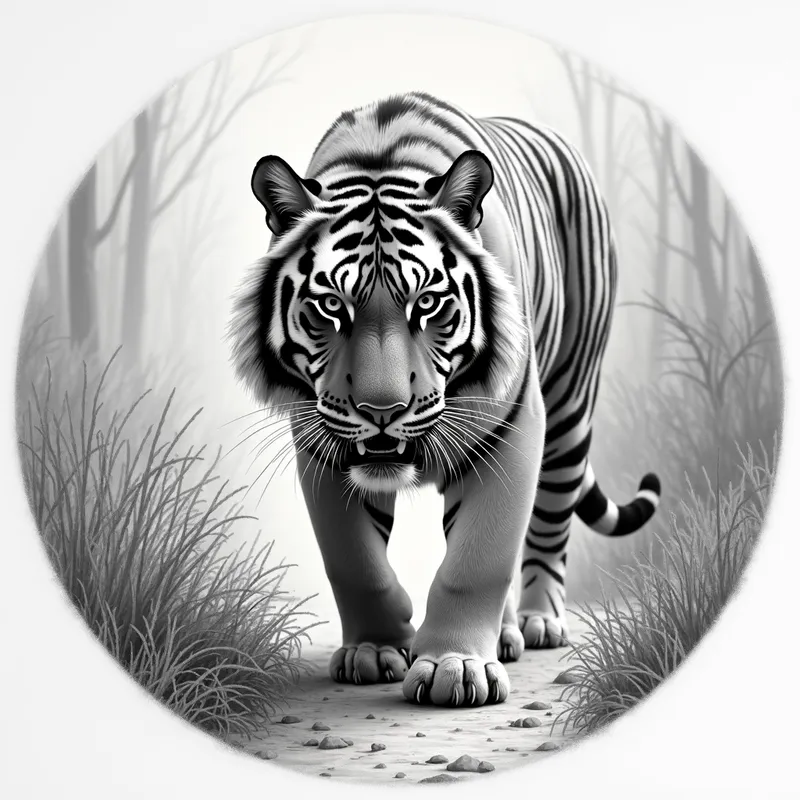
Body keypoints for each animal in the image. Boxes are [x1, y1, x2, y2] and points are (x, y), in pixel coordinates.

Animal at [230, 92, 661, 707]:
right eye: (331, 307)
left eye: (428, 304)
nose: (382, 412)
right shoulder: (321, 445)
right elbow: (354, 561)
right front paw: (374, 648)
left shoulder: (512, 430)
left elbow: (477, 559)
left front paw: (454, 666)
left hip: (570, 406)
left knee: (550, 519)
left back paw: (537, 622)